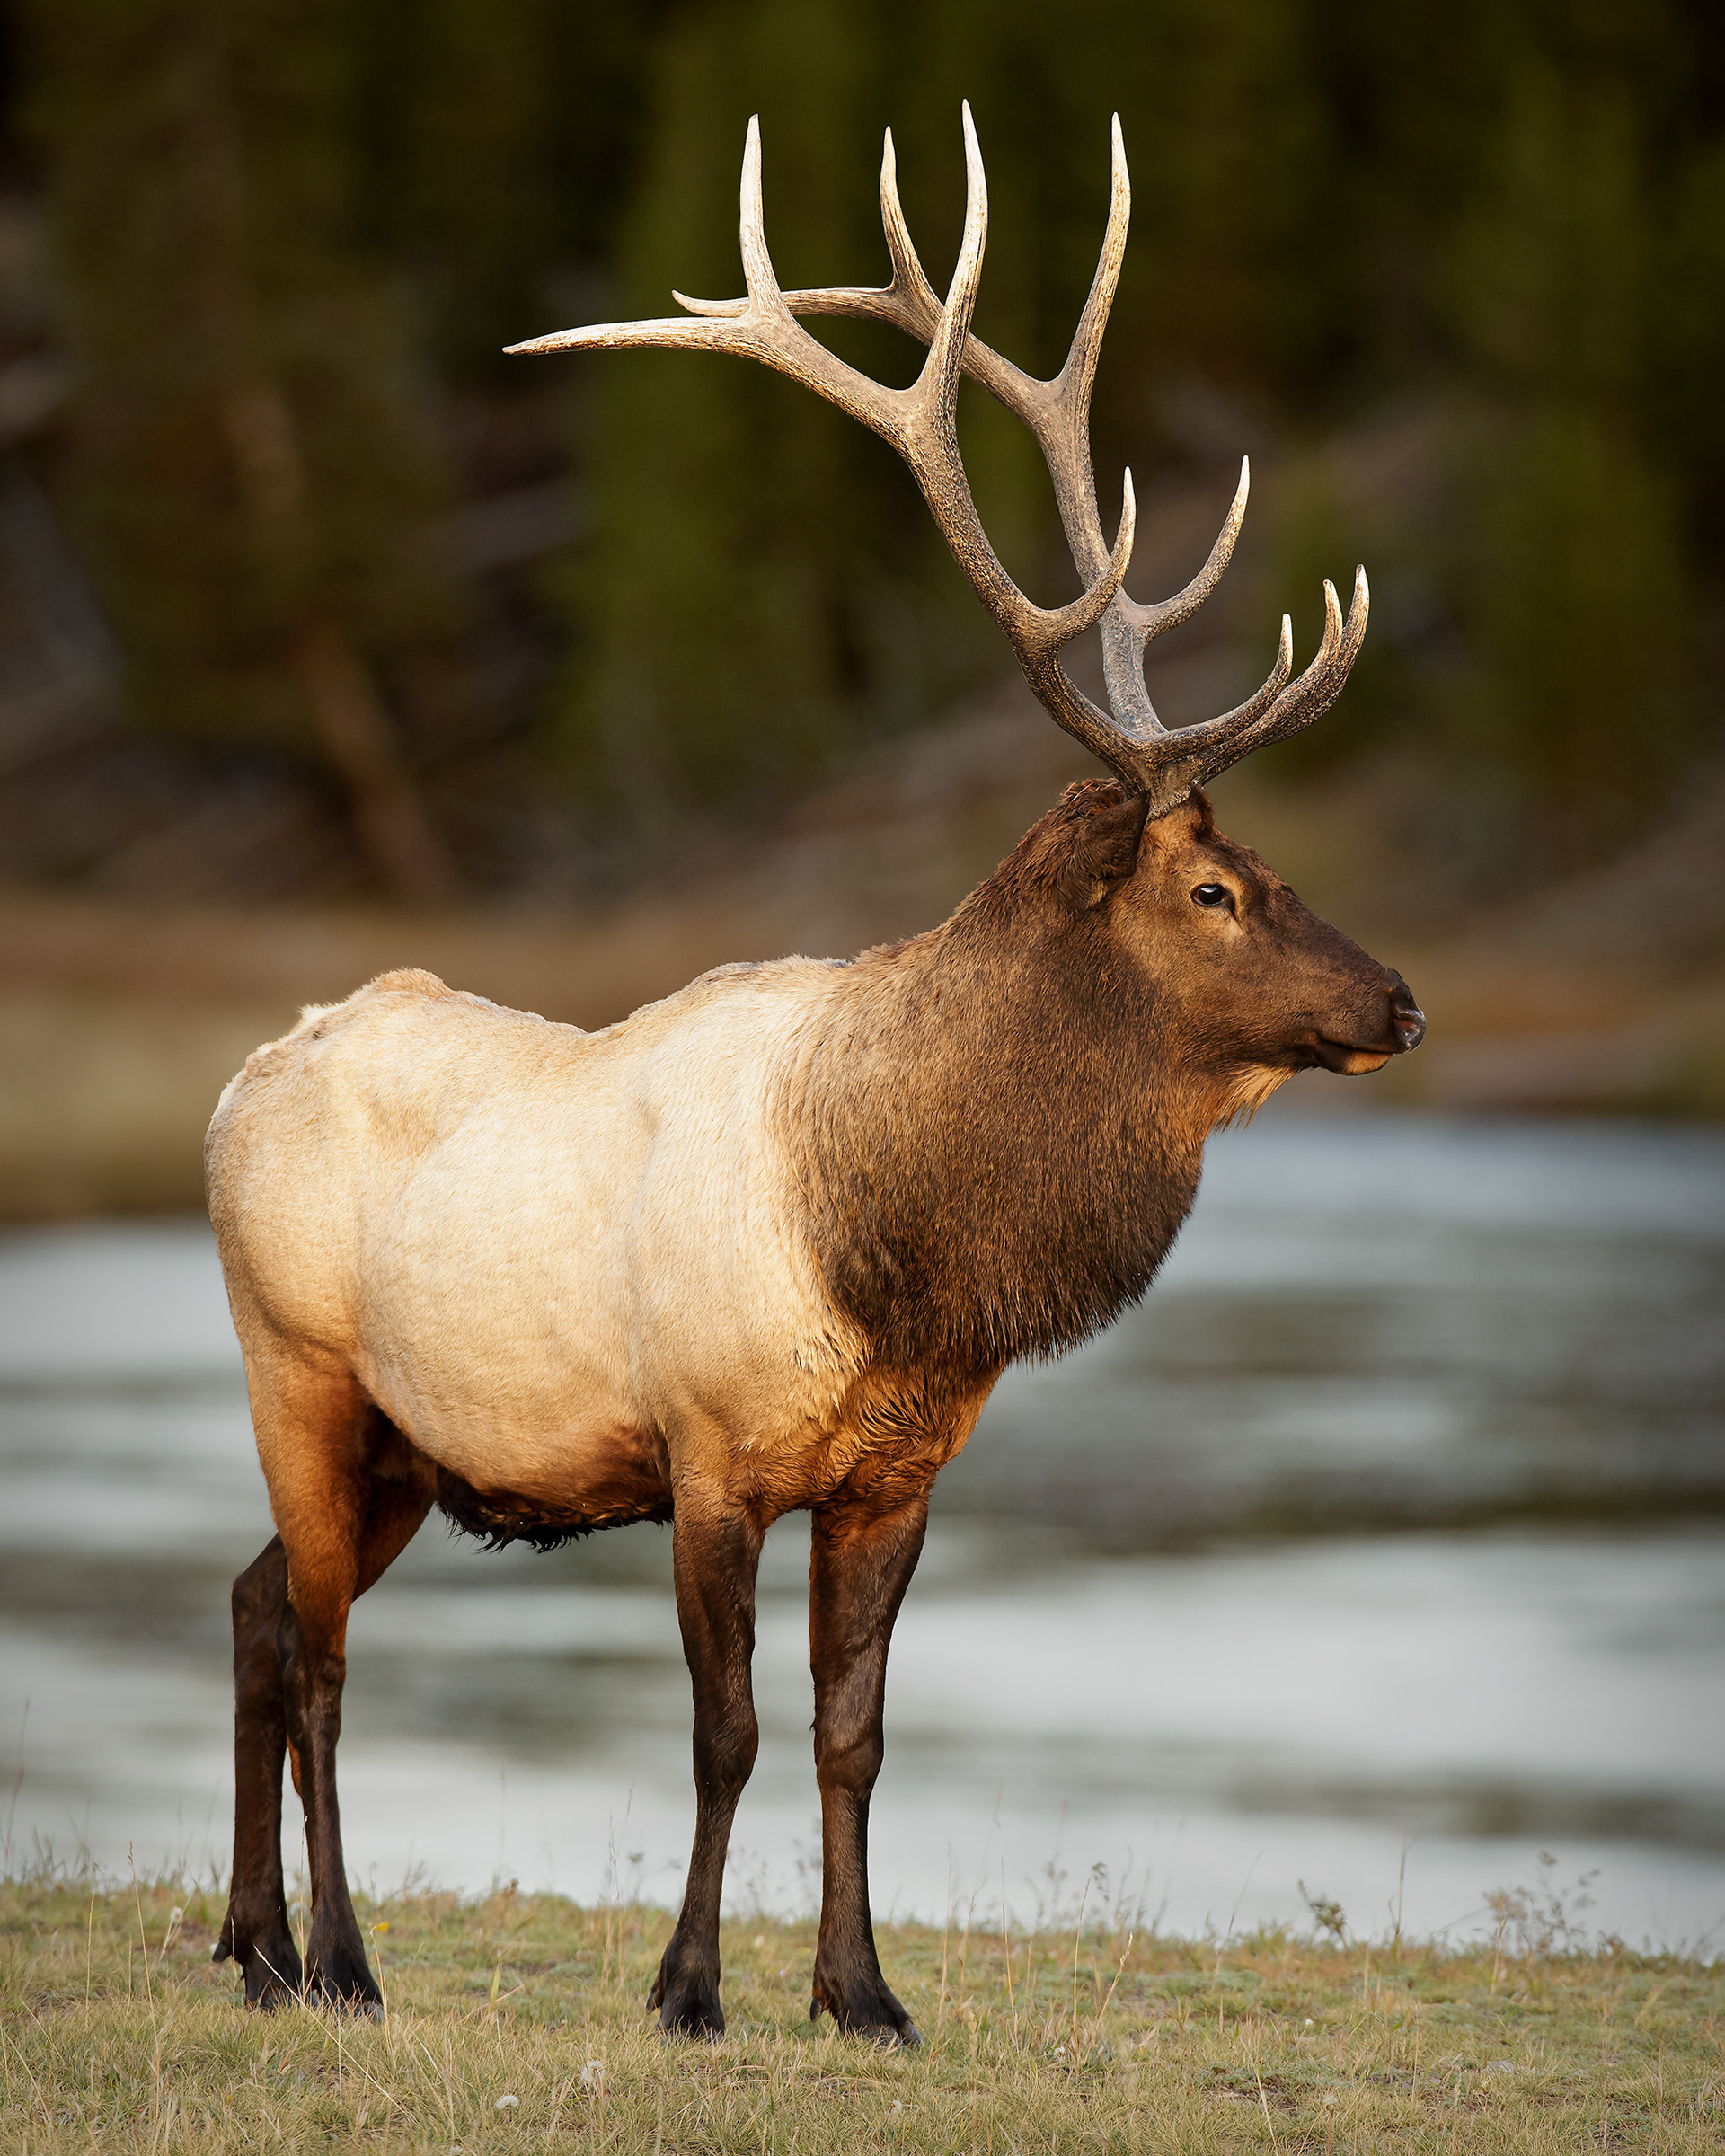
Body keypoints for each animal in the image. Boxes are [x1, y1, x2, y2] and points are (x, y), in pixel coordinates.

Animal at [205, 106, 1424, 2047]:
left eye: (1270, 864)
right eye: (1215, 890)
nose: (1396, 1002)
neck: (904, 1254)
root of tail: (249, 1072)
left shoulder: (898, 1474)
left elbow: (855, 1736)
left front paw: (864, 1993)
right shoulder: (707, 1457)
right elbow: (728, 1735)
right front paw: (691, 1990)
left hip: (405, 1441)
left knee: (254, 1609)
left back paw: (249, 1946)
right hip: (299, 1370)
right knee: (317, 1653)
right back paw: (337, 1956)